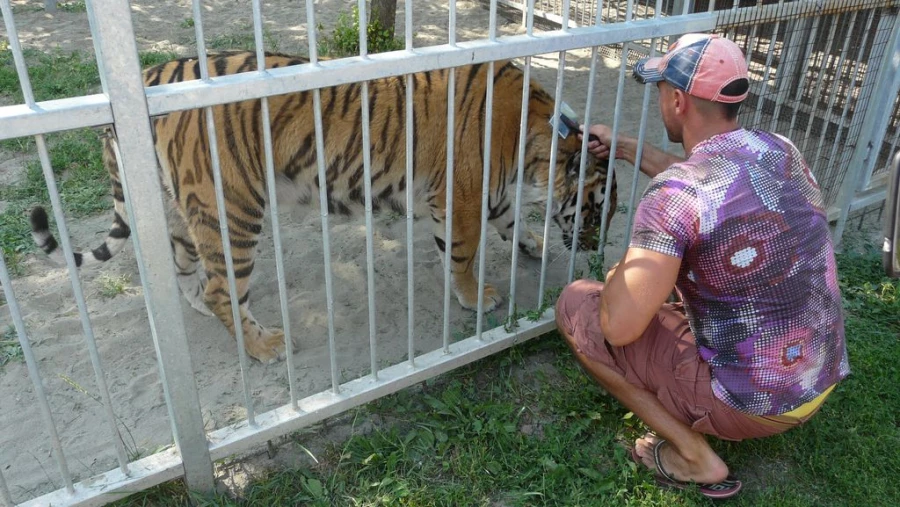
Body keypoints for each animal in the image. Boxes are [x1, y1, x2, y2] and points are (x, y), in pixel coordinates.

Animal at [29, 51, 620, 364]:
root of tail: (150, 76)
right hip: (232, 209)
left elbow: (512, 221)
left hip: (177, 210)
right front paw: (477, 297)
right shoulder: (462, 197)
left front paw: (532, 245)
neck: (538, 146)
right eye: (598, 208)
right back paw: (265, 346)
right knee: (224, 287)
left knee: (189, 275)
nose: (595, 249)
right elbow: (463, 255)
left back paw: (206, 310)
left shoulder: (488, 196)